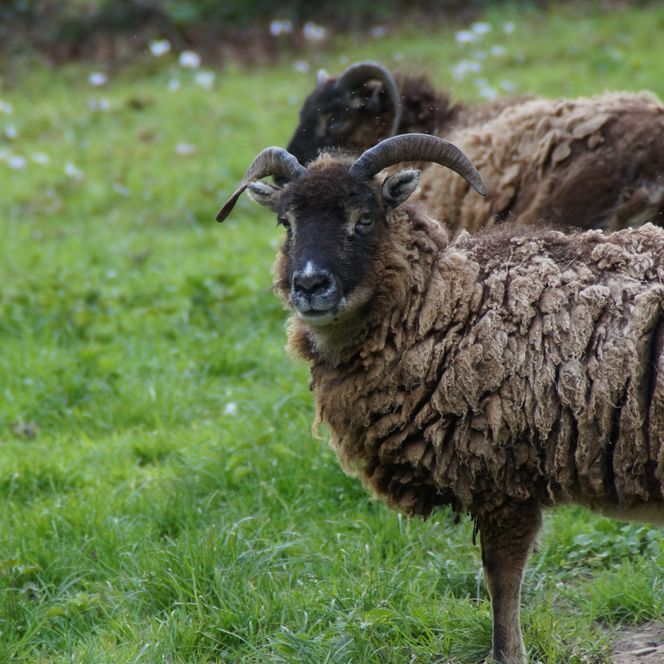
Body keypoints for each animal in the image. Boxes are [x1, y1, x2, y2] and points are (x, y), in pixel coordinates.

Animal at [216, 133, 664, 663]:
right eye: (287, 223)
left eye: (364, 218)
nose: (309, 286)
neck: (445, 301)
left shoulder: (502, 475)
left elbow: (501, 579)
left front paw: (507, 654)